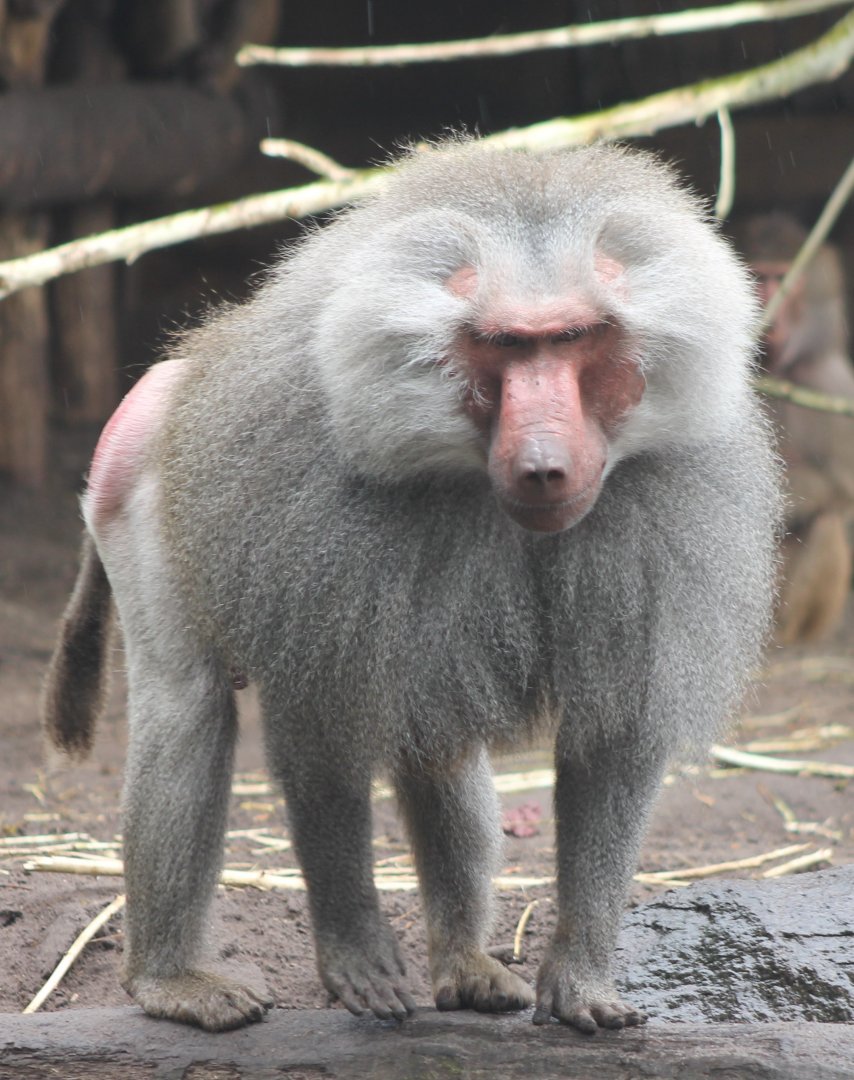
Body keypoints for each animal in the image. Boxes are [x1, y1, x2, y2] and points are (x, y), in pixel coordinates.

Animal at [43, 140, 780, 1035]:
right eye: (502, 345)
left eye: (577, 338)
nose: (545, 465)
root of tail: (167, 378)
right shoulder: (321, 545)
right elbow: (317, 734)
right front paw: (356, 957)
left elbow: (615, 732)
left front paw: (580, 979)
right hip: (137, 493)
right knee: (187, 706)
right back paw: (173, 982)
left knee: (436, 735)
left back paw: (465, 967)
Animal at [735, 213, 854, 644]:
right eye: (758, 276)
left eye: (785, 278)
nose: (772, 316)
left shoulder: (833, 387)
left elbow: (841, 489)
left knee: (826, 519)